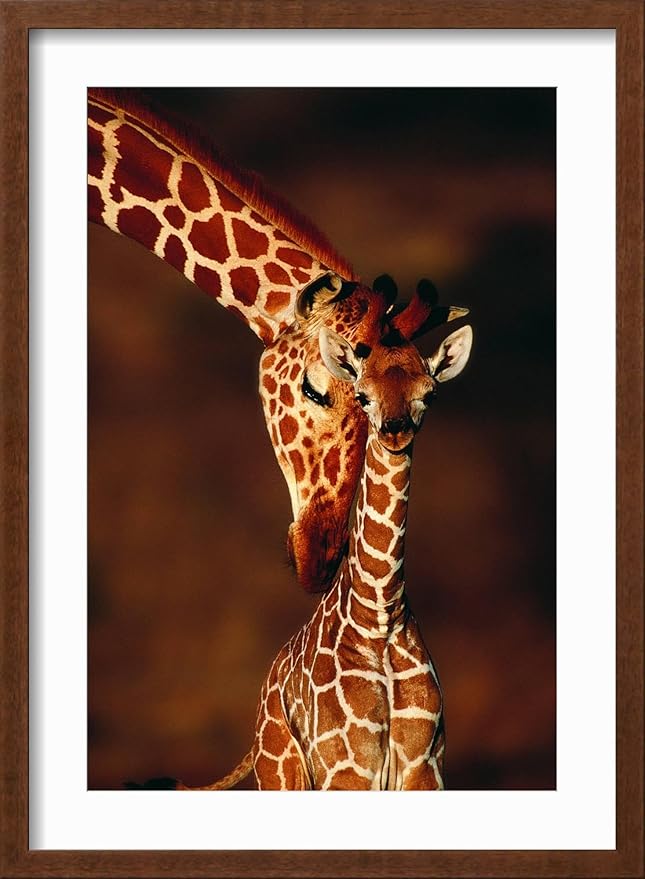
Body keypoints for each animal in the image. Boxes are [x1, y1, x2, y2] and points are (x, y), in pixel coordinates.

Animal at [173, 318, 472, 790]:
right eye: (362, 394)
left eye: (430, 393)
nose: (395, 429)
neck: (380, 615)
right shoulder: (346, 768)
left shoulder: (425, 767)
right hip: (282, 773)